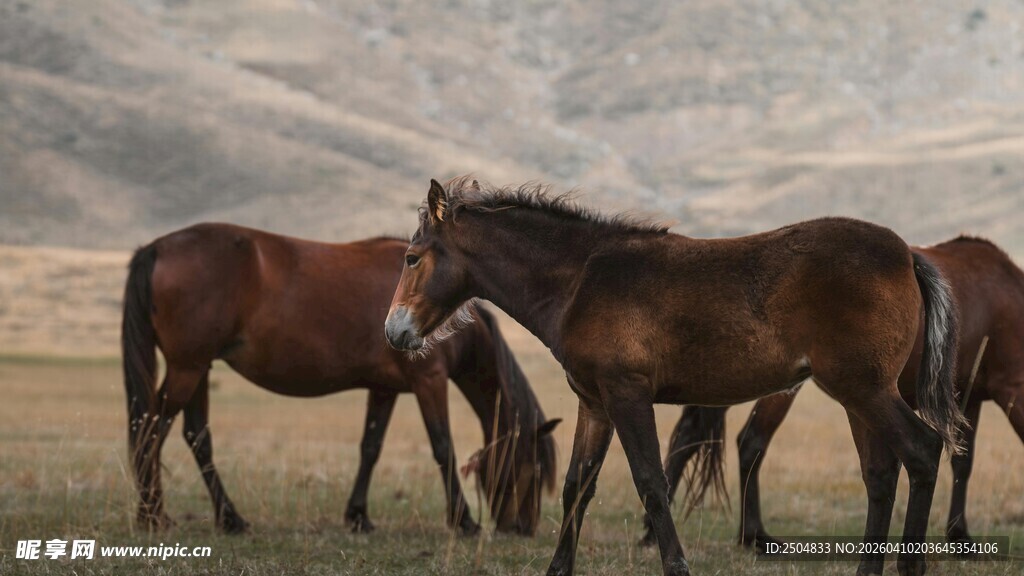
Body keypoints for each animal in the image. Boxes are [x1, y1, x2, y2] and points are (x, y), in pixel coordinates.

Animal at [121, 223, 560, 537]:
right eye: (534, 469)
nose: (522, 528)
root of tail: (156, 248)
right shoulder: (429, 381)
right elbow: (442, 446)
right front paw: (464, 521)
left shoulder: (384, 389)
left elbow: (370, 447)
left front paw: (358, 516)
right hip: (187, 368)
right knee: (152, 430)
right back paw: (153, 515)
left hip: (198, 369)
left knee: (196, 438)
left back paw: (229, 518)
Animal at [384, 177, 963, 576]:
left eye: (412, 257)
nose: (394, 331)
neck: (581, 280)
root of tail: (908, 255)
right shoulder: (594, 403)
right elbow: (577, 487)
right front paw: (557, 567)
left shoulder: (627, 394)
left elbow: (651, 482)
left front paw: (676, 565)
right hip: (857, 396)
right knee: (881, 474)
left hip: (863, 389)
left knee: (922, 451)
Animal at [645, 235, 1024, 552]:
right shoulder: (1005, 389)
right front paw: (959, 535)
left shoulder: (968, 398)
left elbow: (962, 461)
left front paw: (958, 533)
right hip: (780, 389)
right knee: (751, 442)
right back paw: (754, 534)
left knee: (691, 437)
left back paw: (654, 531)